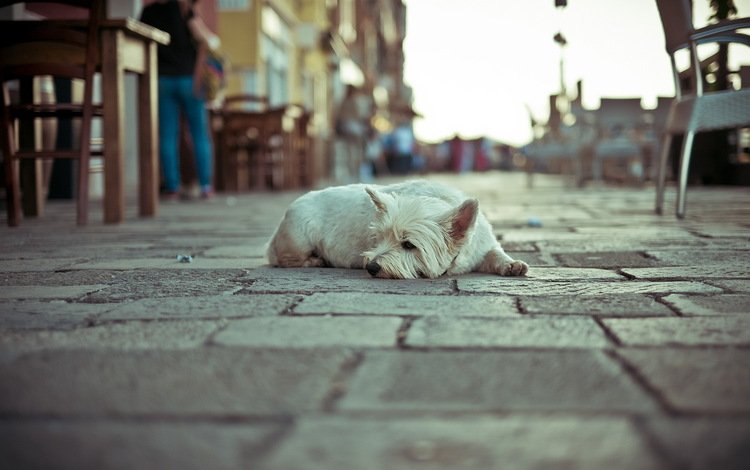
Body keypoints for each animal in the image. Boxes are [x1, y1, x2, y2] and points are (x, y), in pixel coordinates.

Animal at [268, 178, 532, 278]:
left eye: (408, 245)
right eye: (379, 238)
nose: (371, 267)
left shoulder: (483, 247)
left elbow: (496, 254)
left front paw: (513, 265)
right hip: (299, 235)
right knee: (286, 259)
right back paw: (315, 260)